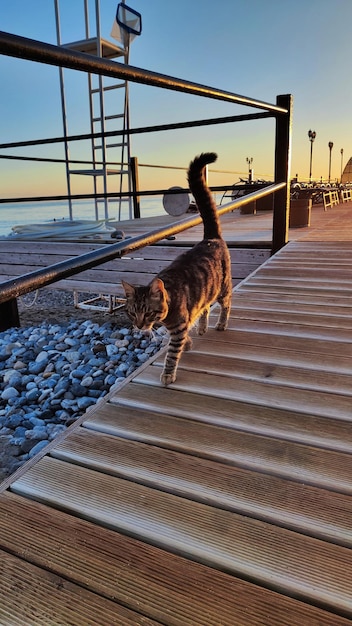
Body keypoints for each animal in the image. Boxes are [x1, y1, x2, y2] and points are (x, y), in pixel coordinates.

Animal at [122, 152, 232, 386]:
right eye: (132, 312)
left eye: (147, 312)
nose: (139, 326)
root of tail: (211, 238)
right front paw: (189, 342)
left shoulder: (179, 326)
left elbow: (172, 353)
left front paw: (168, 373)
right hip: (206, 290)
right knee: (205, 307)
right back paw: (202, 326)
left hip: (223, 288)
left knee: (226, 305)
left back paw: (221, 323)